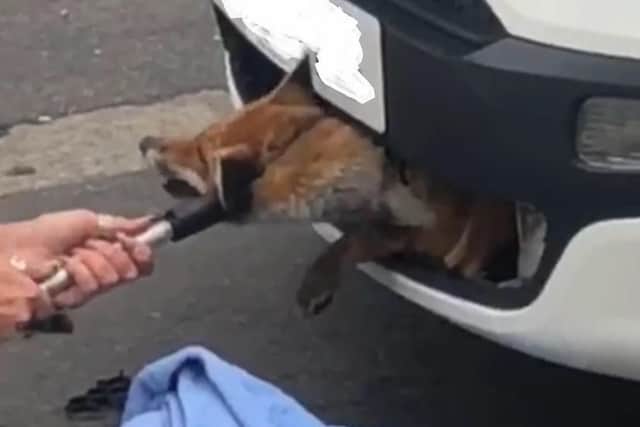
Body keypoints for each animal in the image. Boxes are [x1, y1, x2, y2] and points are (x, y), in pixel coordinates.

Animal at [139, 62, 517, 316]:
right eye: (201, 134)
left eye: (201, 154)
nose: (144, 142)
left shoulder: (434, 231)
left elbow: (356, 240)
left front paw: (319, 280)